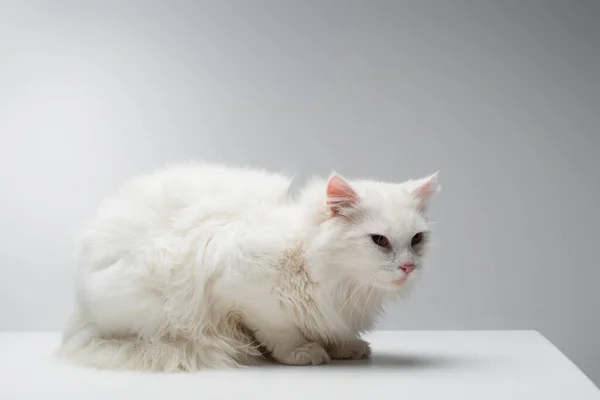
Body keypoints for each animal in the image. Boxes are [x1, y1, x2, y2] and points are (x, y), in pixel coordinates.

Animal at [57, 162, 440, 372]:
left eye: (416, 240)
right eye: (379, 241)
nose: (408, 266)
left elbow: (333, 329)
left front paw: (344, 346)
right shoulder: (244, 288)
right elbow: (280, 330)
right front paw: (303, 352)